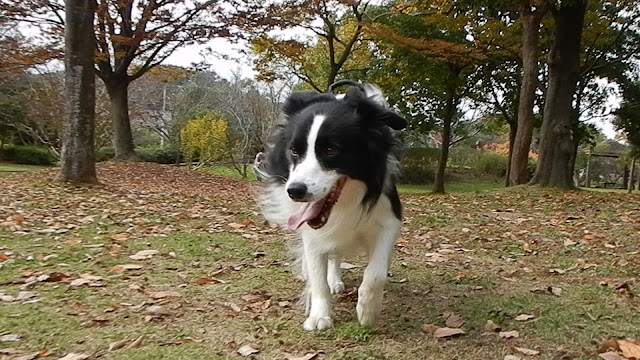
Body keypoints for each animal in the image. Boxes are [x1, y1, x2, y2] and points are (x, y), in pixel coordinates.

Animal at [258, 80, 408, 330]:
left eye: (331, 150)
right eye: (294, 150)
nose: (295, 191)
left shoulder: (388, 219)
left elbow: (376, 272)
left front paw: (367, 310)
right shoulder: (311, 231)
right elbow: (318, 275)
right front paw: (319, 315)